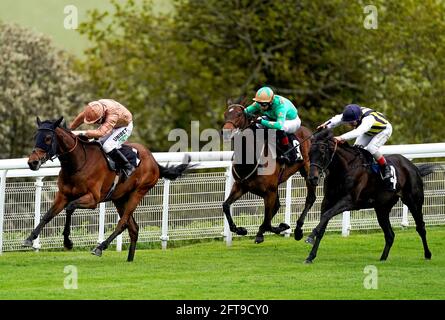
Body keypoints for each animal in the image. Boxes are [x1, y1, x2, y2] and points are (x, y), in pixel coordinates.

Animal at [25, 116, 190, 262]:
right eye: (35, 136)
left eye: (48, 138)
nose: (32, 162)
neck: (77, 163)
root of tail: (154, 161)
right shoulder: (63, 195)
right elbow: (47, 215)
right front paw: (30, 238)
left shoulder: (93, 199)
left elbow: (70, 208)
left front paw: (68, 242)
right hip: (120, 198)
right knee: (133, 228)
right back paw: (129, 259)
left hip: (138, 192)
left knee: (123, 223)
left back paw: (100, 247)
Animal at [220, 104, 314, 242]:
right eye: (225, 114)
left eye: (239, 114)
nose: (226, 132)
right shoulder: (240, 185)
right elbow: (226, 205)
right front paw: (240, 230)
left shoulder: (269, 192)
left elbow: (268, 220)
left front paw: (280, 227)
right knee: (276, 207)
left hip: (308, 172)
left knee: (310, 198)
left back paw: (298, 230)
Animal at [304, 129, 436, 264]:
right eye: (309, 153)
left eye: (322, 152)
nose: (312, 178)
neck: (345, 169)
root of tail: (413, 167)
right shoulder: (327, 201)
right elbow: (323, 223)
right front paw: (310, 256)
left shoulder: (348, 201)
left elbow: (326, 215)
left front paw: (310, 236)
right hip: (382, 208)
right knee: (390, 235)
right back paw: (383, 258)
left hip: (414, 202)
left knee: (421, 227)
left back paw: (428, 254)